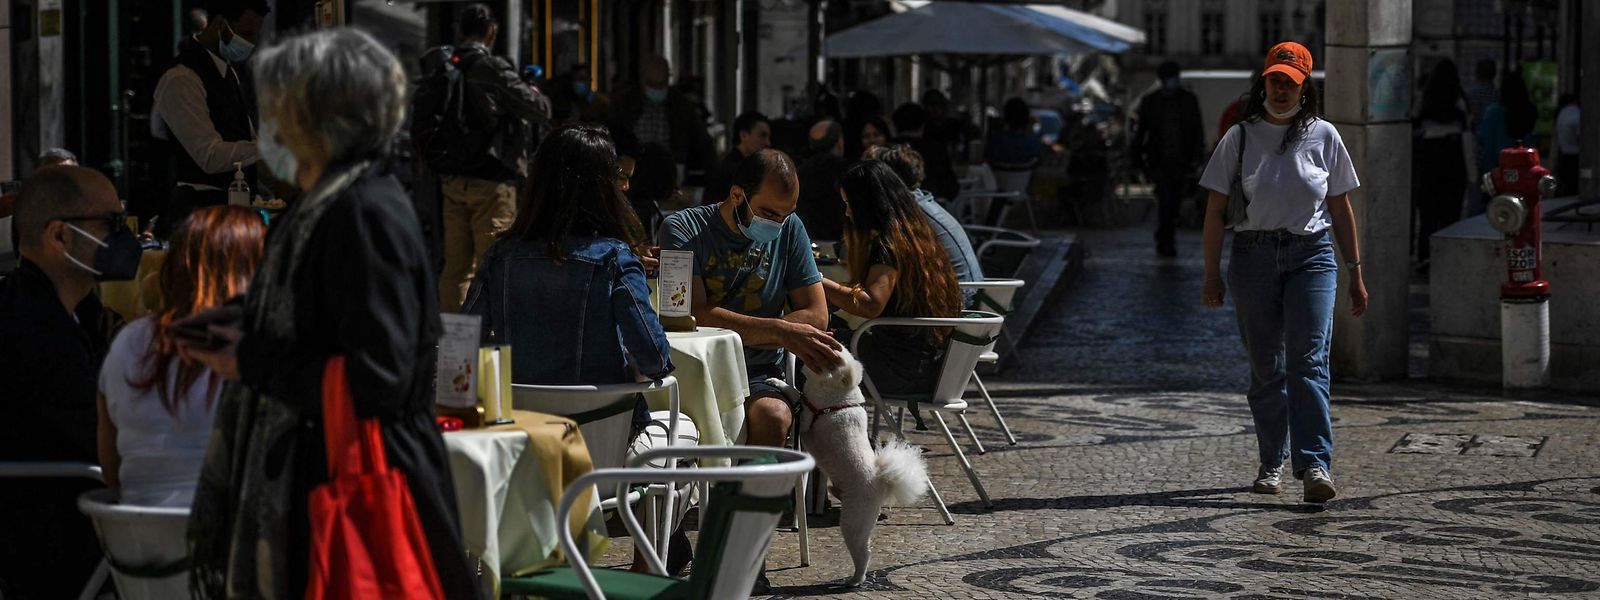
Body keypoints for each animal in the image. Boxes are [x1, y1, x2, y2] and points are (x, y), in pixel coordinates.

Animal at [771, 347, 934, 588]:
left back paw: (855, 580)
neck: (839, 395)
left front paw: (780, 384)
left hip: (853, 522)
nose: (802, 358)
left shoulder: (808, 417)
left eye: (822, 361)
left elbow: (796, 394)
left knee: (863, 554)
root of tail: (881, 482)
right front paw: (776, 381)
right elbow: (798, 392)